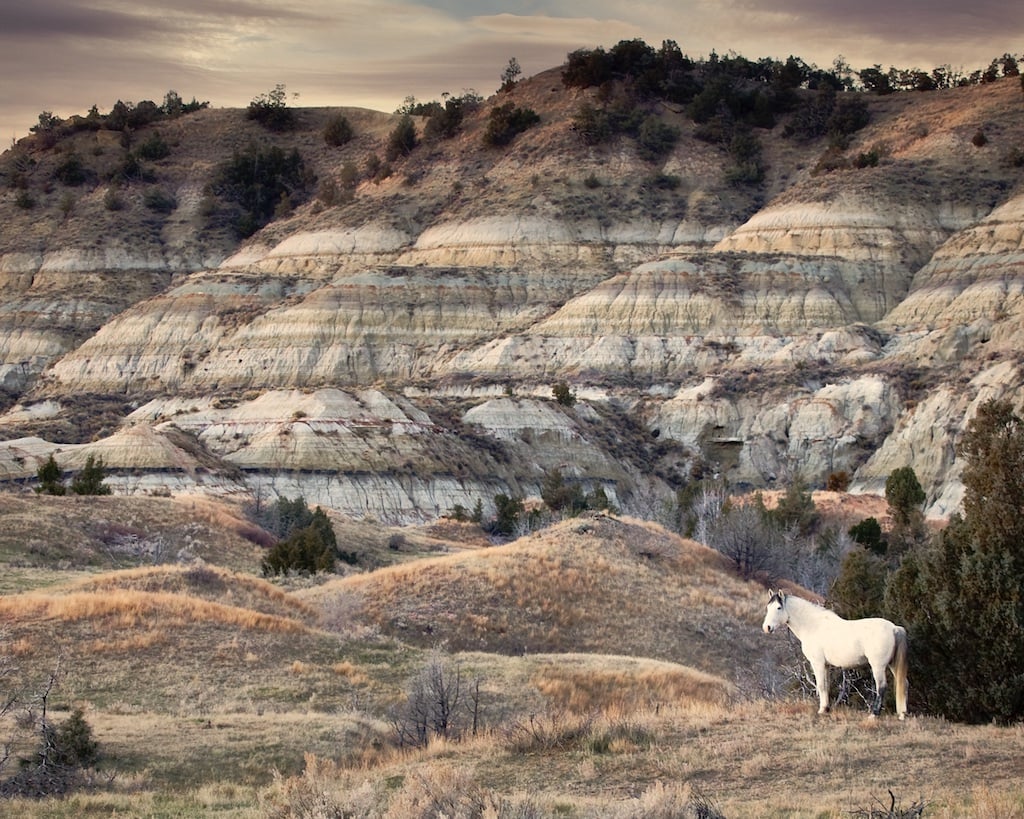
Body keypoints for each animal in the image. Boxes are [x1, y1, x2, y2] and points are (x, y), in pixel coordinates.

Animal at [761, 589, 913, 716]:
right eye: (768, 608)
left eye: (779, 607)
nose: (767, 628)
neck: (813, 626)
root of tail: (894, 628)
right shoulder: (826, 665)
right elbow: (826, 686)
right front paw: (826, 708)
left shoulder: (817, 663)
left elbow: (821, 685)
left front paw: (821, 710)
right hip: (892, 664)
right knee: (903, 683)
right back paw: (902, 714)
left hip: (878, 666)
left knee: (881, 687)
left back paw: (874, 714)